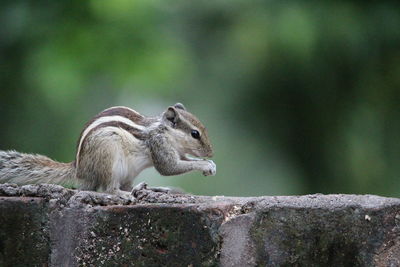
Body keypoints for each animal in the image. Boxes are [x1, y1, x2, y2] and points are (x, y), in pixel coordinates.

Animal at [0, 103, 216, 199]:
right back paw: (125, 195)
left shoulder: (178, 152)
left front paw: (209, 164)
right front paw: (205, 164)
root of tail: (79, 170)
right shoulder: (159, 145)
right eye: (195, 134)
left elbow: (184, 160)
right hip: (108, 155)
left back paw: (152, 189)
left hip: (126, 171)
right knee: (108, 189)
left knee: (127, 186)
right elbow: (168, 168)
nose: (210, 153)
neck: (165, 131)